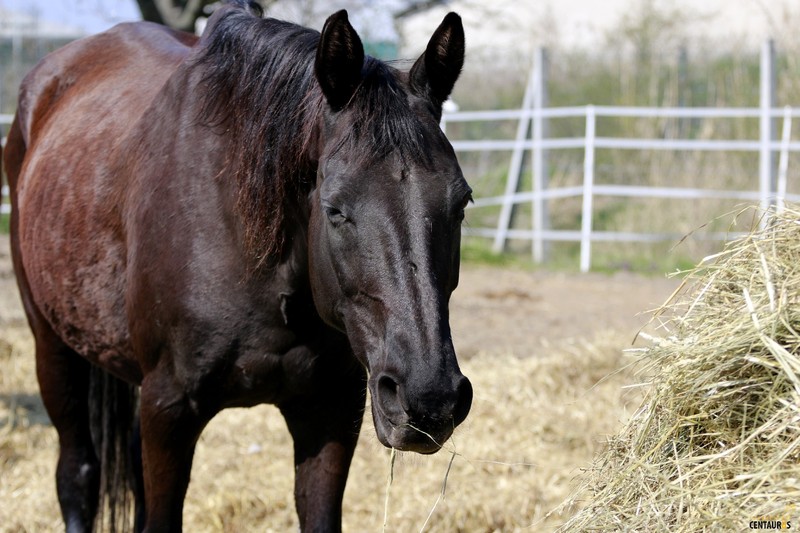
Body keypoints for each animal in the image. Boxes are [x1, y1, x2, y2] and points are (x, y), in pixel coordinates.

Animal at [3, 2, 472, 528]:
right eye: (335, 209)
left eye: (462, 203)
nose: (430, 399)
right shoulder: (167, 411)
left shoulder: (329, 411)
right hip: (52, 346)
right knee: (78, 473)